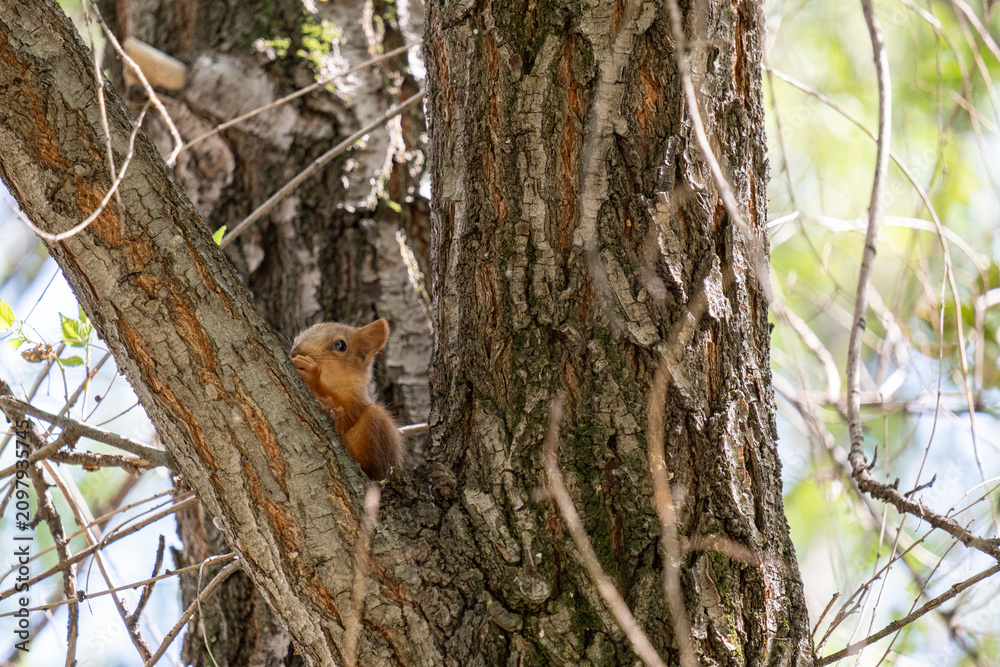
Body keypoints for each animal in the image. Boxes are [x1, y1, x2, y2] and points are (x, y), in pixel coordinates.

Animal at [290, 318, 403, 480]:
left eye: (341, 345)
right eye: (295, 340)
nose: (295, 352)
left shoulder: (355, 402)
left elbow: (347, 415)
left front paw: (312, 374)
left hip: (375, 422)